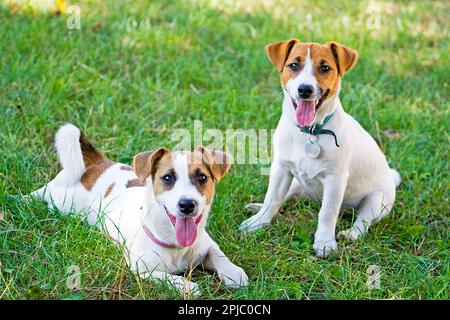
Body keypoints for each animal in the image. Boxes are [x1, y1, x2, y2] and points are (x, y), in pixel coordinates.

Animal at [30, 122, 250, 296]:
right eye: (167, 177)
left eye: (202, 177)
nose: (187, 204)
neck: (175, 245)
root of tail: (96, 164)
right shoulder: (142, 270)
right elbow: (167, 277)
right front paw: (186, 286)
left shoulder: (206, 245)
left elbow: (219, 254)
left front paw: (233, 272)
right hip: (60, 200)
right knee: (42, 192)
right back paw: (25, 199)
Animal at [239, 39, 400, 258]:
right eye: (293, 65)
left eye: (325, 68)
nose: (305, 90)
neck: (311, 131)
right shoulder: (281, 169)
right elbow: (273, 198)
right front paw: (258, 222)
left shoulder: (335, 180)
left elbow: (327, 213)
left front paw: (324, 242)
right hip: (297, 183)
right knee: (286, 197)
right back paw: (257, 207)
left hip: (378, 200)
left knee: (363, 220)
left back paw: (351, 233)